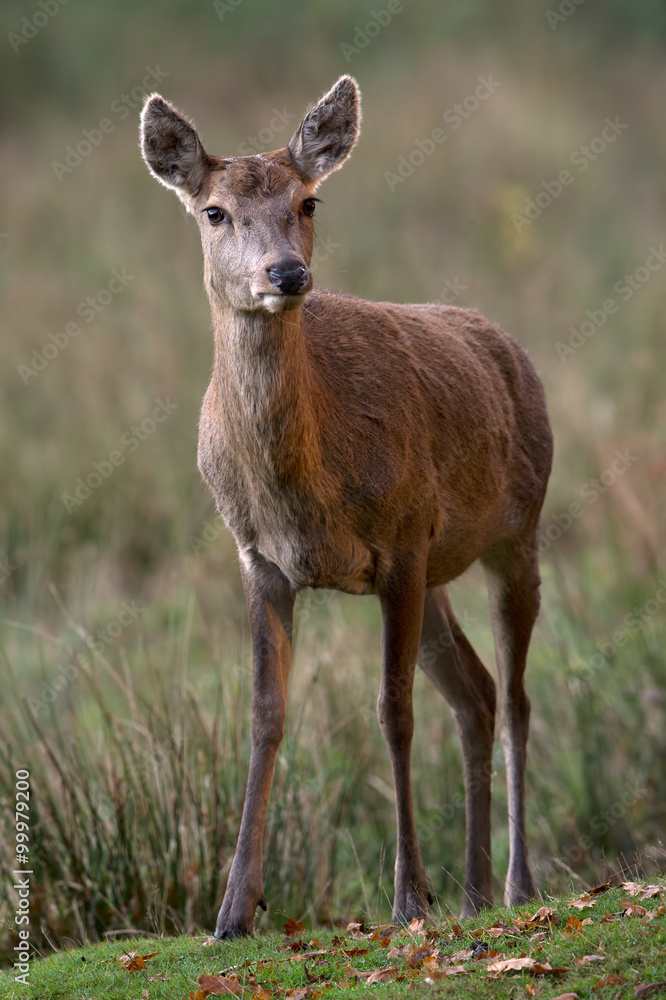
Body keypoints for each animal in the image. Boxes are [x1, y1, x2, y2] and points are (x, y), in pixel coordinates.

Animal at [140, 75, 553, 940]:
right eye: (214, 211)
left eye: (309, 201)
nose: (287, 274)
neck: (305, 487)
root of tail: (511, 349)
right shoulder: (259, 558)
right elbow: (265, 715)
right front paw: (231, 912)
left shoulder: (401, 540)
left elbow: (391, 711)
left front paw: (407, 899)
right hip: (438, 572)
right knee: (476, 693)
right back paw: (470, 890)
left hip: (517, 529)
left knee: (516, 695)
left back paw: (512, 885)